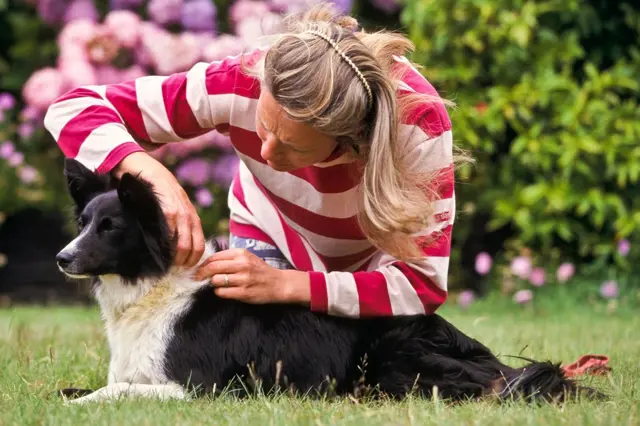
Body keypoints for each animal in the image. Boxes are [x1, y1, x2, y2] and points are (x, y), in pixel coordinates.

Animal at [52, 158, 596, 404]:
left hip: (390, 360)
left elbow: (109, 395)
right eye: (83, 223)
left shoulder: (196, 388)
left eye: (111, 228)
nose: (61, 258)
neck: (152, 288)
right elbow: (86, 388)